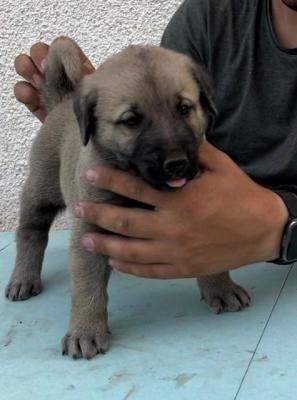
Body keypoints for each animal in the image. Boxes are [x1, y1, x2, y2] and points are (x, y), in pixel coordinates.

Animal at [5, 37, 249, 360]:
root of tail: (62, 102)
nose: (176, 163)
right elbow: (87, 285)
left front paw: (221, 287)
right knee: (30, 234)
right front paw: (86, 330)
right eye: (131, 120)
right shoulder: (89, 230)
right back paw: (24, 278)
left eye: (184, 108)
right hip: (40, 190)